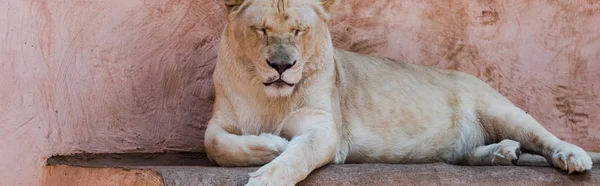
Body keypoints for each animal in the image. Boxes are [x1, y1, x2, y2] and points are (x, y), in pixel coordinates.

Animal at [204, 0, 592, 185]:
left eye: (300, 30)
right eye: (261, 30)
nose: (282, 66)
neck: (267, 97)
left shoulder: (324, 129)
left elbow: (296, 156)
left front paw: (269, 172)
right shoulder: (218, 122)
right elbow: (216, 145)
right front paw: (272, 143)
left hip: (500, 109)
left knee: (543, 136)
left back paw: (572, 156)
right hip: (462, 146)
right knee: (466, 155)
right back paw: (502, 153)